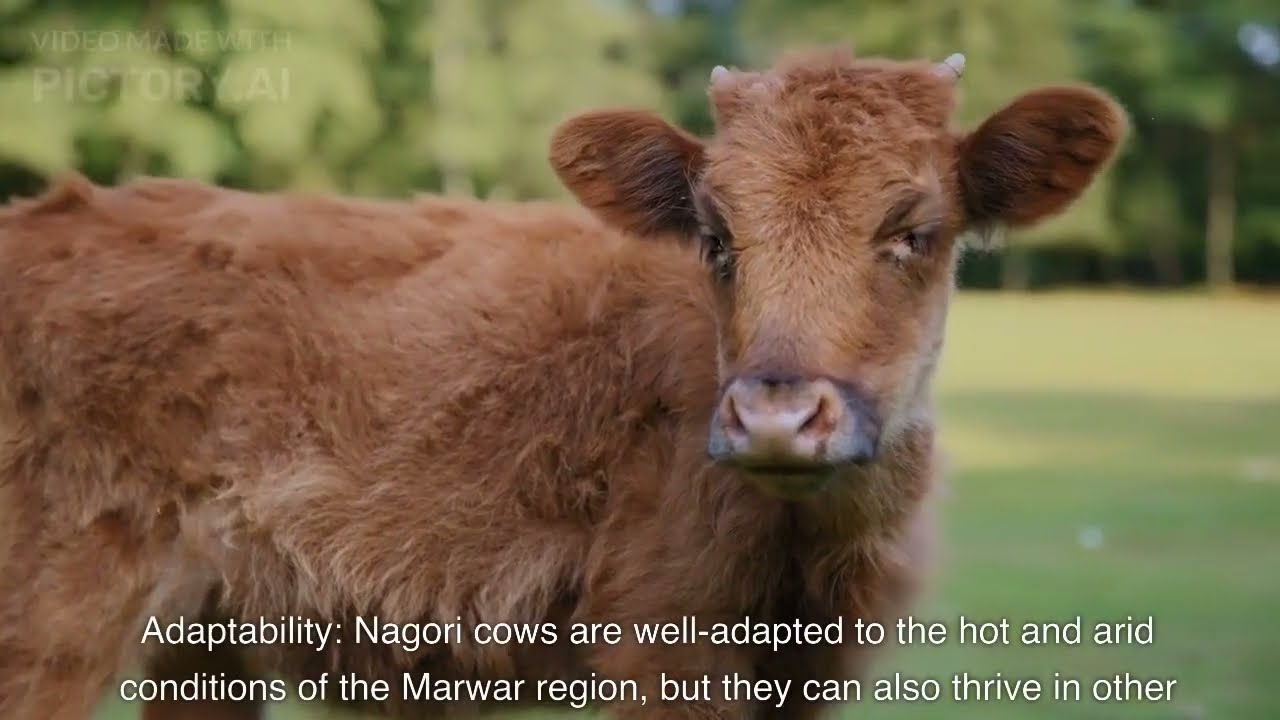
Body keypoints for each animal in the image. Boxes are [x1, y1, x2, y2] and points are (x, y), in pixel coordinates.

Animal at [0, 47, 1125, 720]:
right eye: (714, 236)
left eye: (915, 232)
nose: (773, 416)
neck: (809, 551)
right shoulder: (663, 645)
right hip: (52, 622)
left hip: (203, 647)